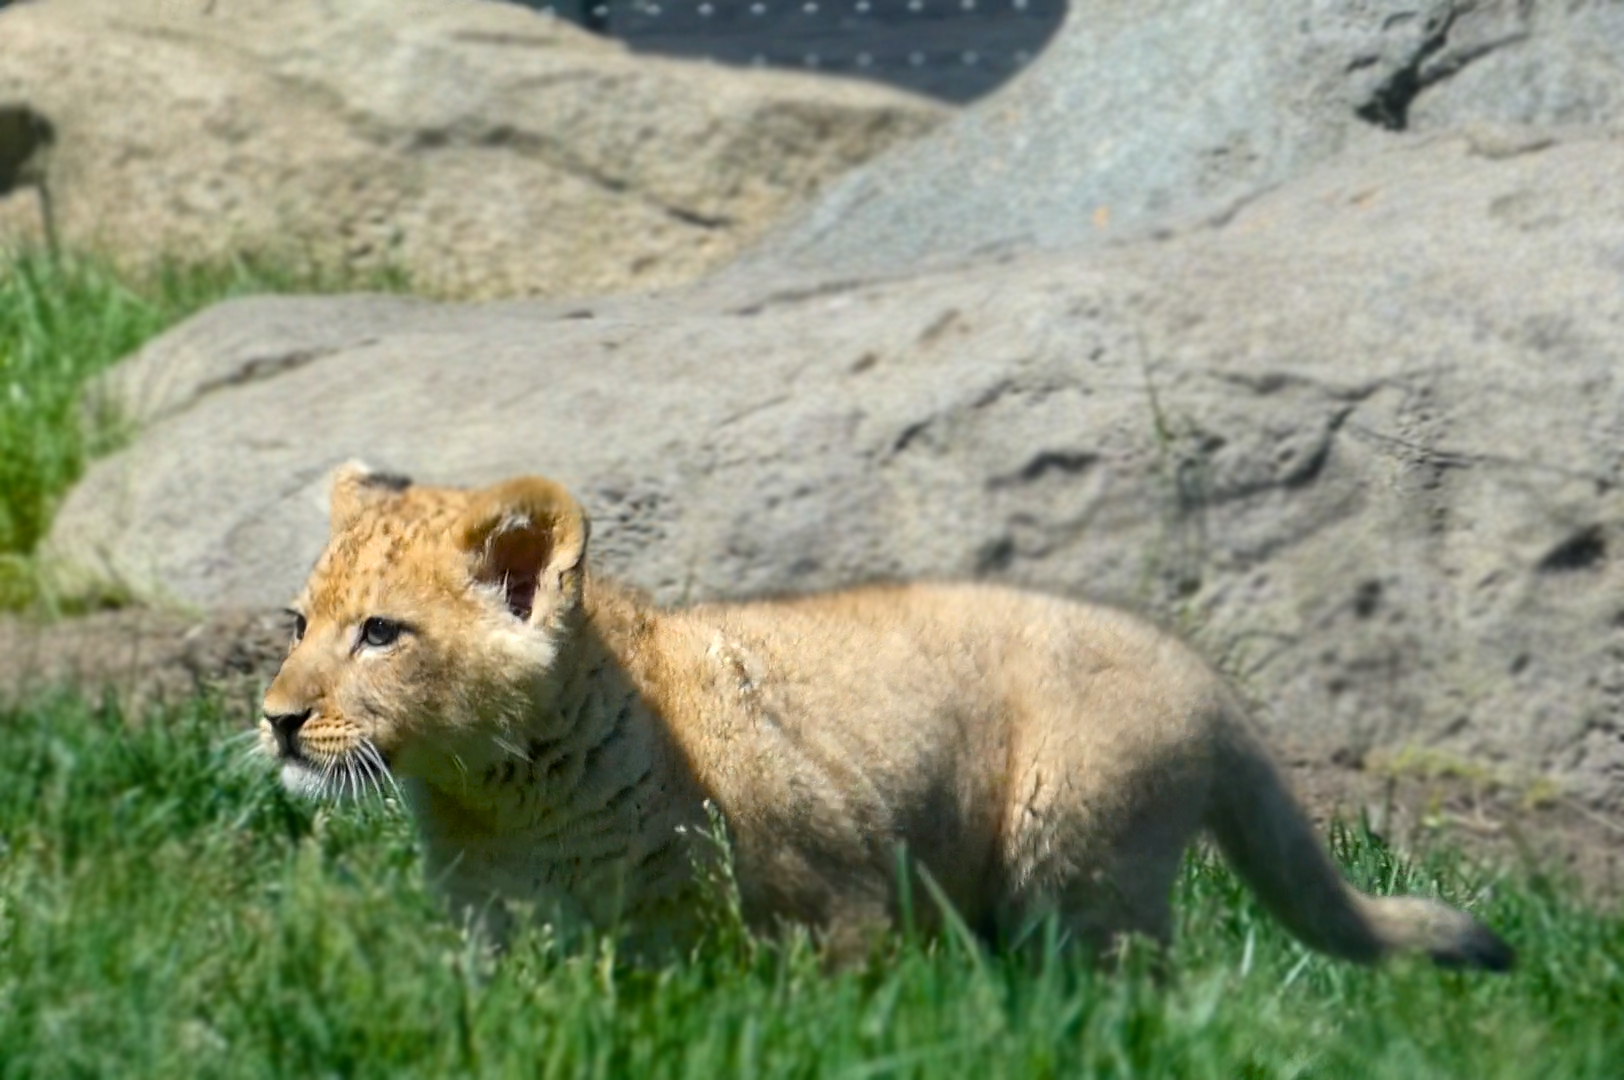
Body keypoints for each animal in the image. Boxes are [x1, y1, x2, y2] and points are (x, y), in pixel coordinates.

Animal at [259, 465, 1513, 970]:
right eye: (299, 621)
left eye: (381, 634)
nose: (275, 717)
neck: (503, 800)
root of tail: (1196, 675)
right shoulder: (506, 938)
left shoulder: (840, 899)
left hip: (1074, 858)